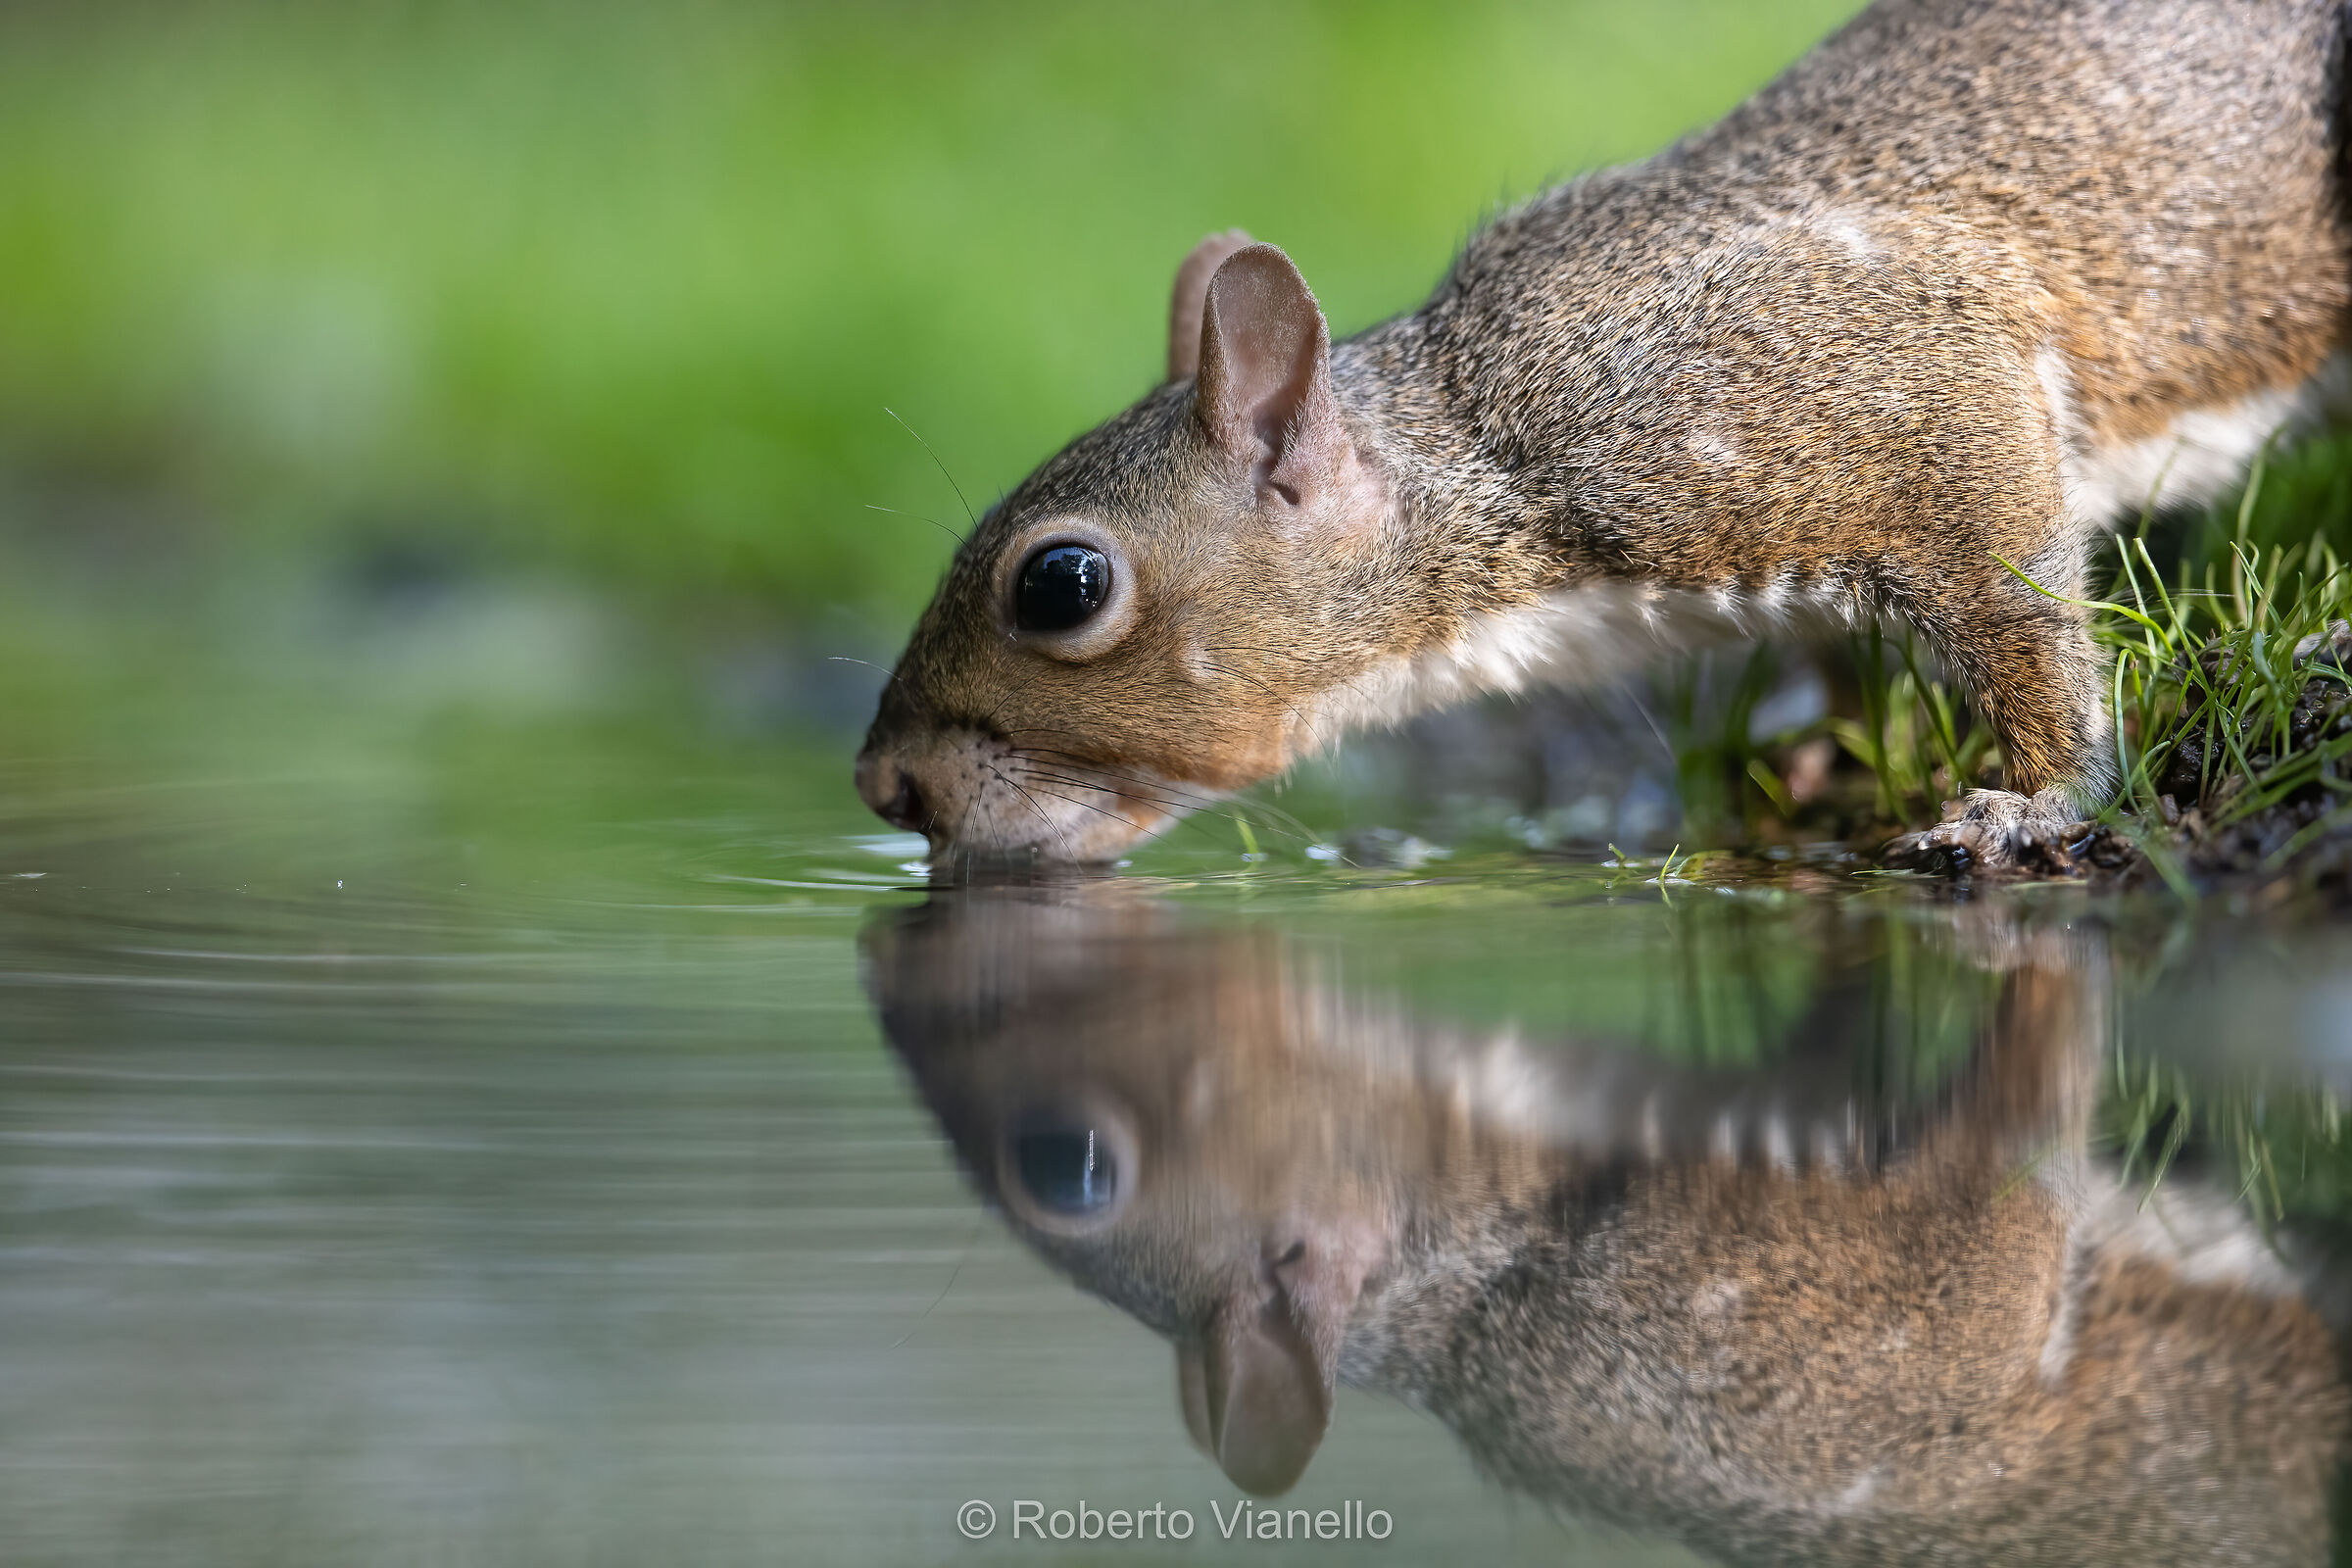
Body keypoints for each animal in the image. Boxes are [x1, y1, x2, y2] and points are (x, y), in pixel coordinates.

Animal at [855, 0, 2352, 867]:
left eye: (1063, 584)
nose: (884, 789)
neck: (1488, 450)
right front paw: (1814, 742)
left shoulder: (1894, 385)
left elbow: (2018, 611)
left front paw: (2037, 799)